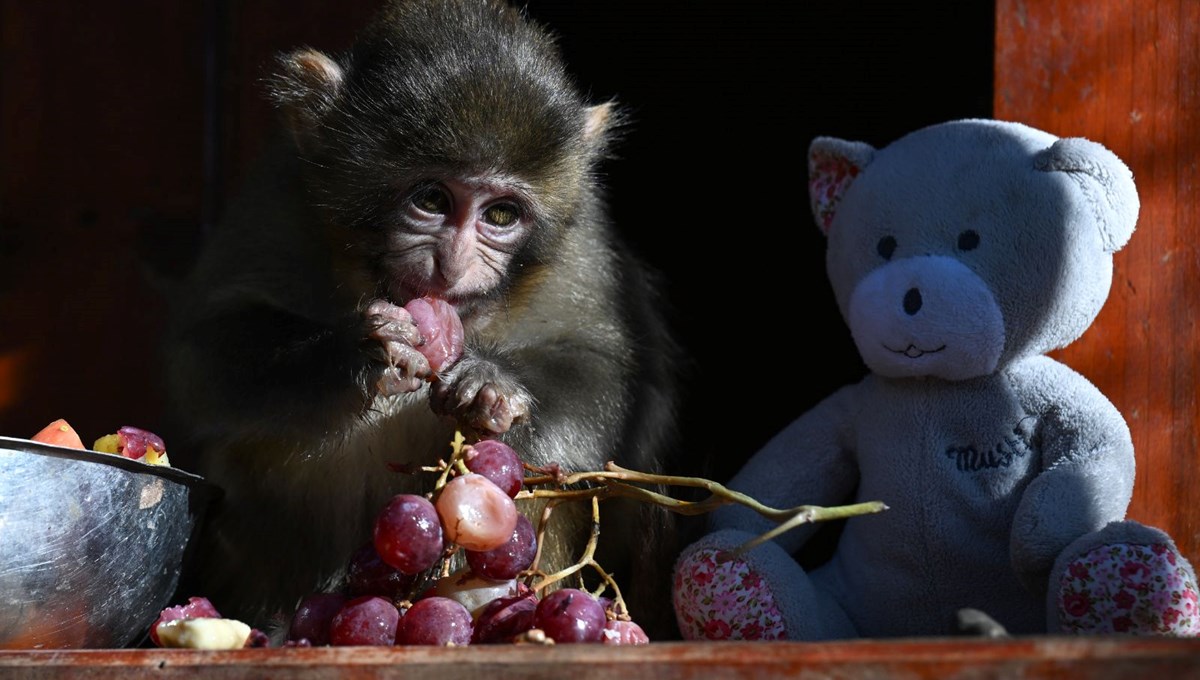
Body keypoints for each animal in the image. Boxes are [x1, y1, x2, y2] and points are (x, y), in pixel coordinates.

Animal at [164, 0, 686, 638]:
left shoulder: (587, 241)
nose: (453, 265)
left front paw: (491, 384)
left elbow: (614, 374)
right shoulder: (279, 196)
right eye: (432, 200)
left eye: (501, 215)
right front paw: (357, 357)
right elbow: (205, 354)